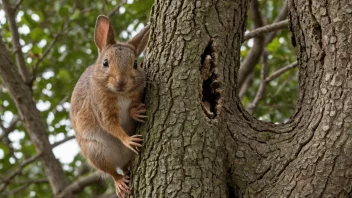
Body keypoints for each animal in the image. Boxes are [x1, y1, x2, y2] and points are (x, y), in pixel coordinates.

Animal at [70, 15, 150, 196]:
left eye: (136, 64)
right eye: (105, 63)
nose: (121, 81)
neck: (120, 94)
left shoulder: (137, 94)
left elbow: (132, 107)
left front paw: (136, 112)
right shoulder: (100, 107)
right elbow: (110, 125)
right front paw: (128, 140)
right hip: (96, 153)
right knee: (112, 172)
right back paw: (120, 182)